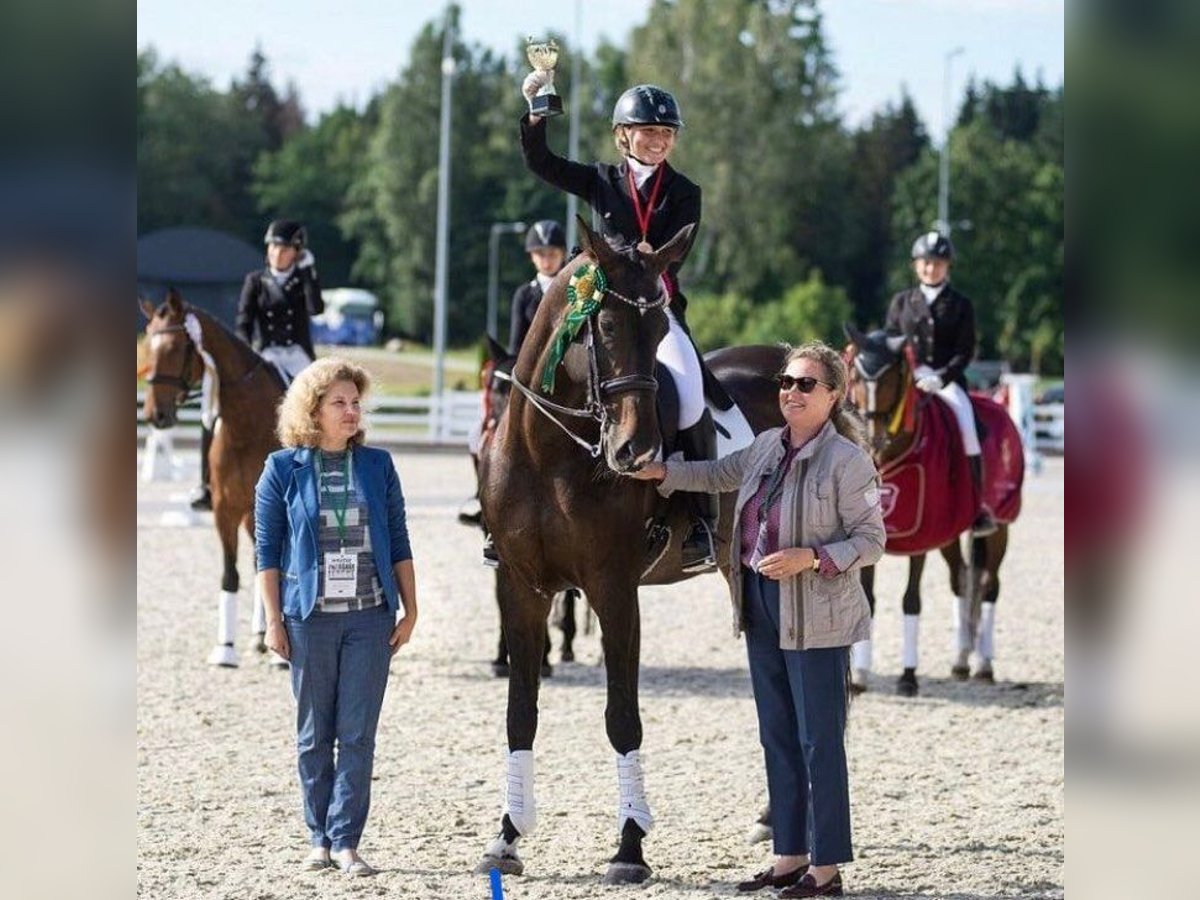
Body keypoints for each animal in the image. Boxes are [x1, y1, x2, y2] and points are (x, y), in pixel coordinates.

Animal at [139, 289, 283, 672]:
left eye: (176, 347)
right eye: (147, 344)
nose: (155, 416)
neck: (247, 425)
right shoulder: (224, 510)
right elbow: (230, 575)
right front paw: (226, 649)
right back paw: (259, 637)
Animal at [472, 220, 782, 888]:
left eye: (662, 328)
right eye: (608, 326)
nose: (638, 451)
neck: (549, 454)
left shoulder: (613, 589)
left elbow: (622, 718)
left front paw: (630, 846)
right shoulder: (521, 587)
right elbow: (520, 712)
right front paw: (507, 838)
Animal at [844, 326, 1022, 696]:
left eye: (892, 378)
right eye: (856, 376)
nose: (871, 438)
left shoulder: (919, 538)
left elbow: (911, 601)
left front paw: (908, 676)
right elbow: (868, 599)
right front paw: (861, 676)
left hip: (999, 529)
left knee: (989, 585)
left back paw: (984, 665)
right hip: (950, 536)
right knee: (962, 579)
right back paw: (961, 660)